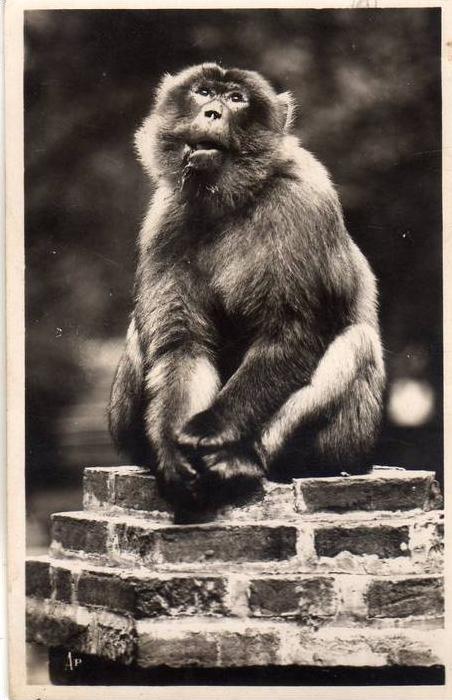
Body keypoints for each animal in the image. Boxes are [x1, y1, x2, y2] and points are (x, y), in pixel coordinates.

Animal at [108, 63, 385, 513]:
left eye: (236, 99)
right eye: (204, 92)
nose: (212, 113)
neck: (235, 197)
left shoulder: (304, 202)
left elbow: (290, 335)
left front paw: (211, 427)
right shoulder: (165, 217)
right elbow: (183, 345)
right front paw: (170, 449)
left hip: (349, 445)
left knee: (356, 342)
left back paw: (245, 457)